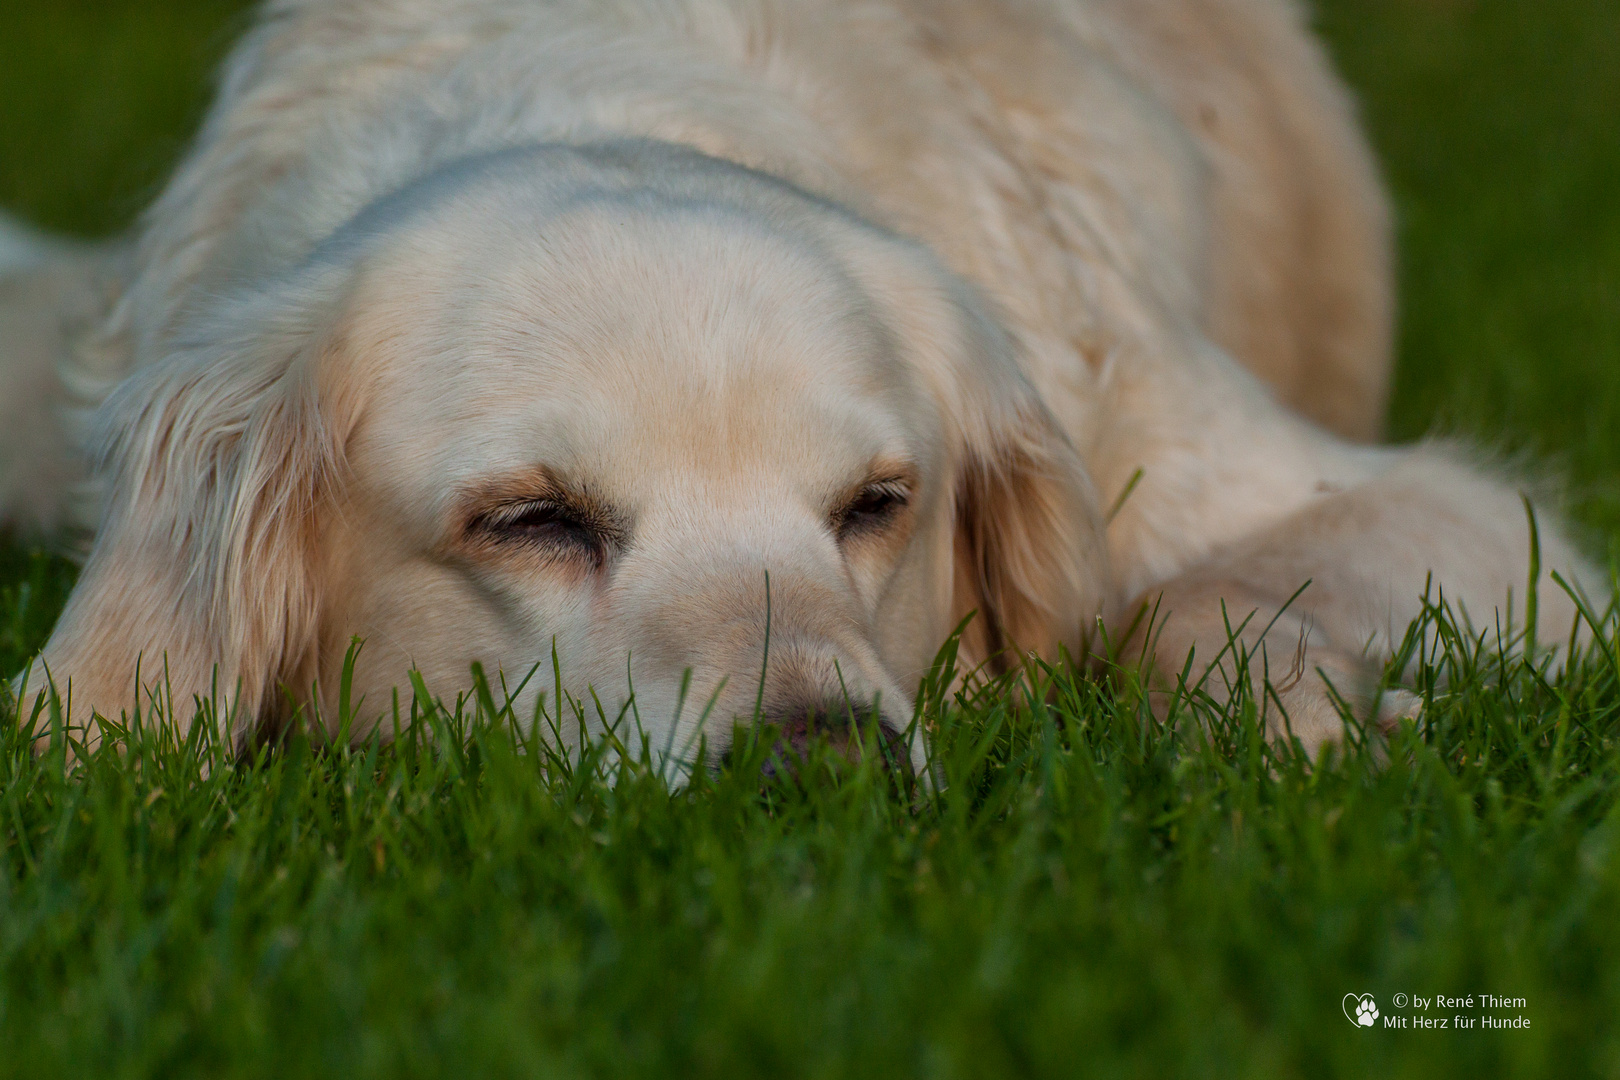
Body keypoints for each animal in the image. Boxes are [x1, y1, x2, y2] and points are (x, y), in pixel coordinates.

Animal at [0, 0, 1594, 767]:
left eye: (878, 505)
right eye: (531, 521)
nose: (824, 772)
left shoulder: (1462, 527)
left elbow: (1182, 592)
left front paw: (1299, 718)